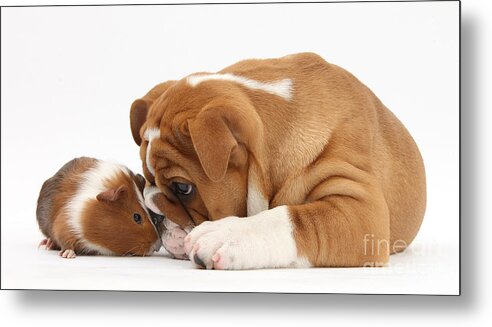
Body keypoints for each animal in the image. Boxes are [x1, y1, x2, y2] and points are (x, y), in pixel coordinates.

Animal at [131, 52, 426, 270]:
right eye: (146, 177)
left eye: (184, 188)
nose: (154, 214)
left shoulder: (362, 210)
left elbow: (295, 218)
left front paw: (225, 233)